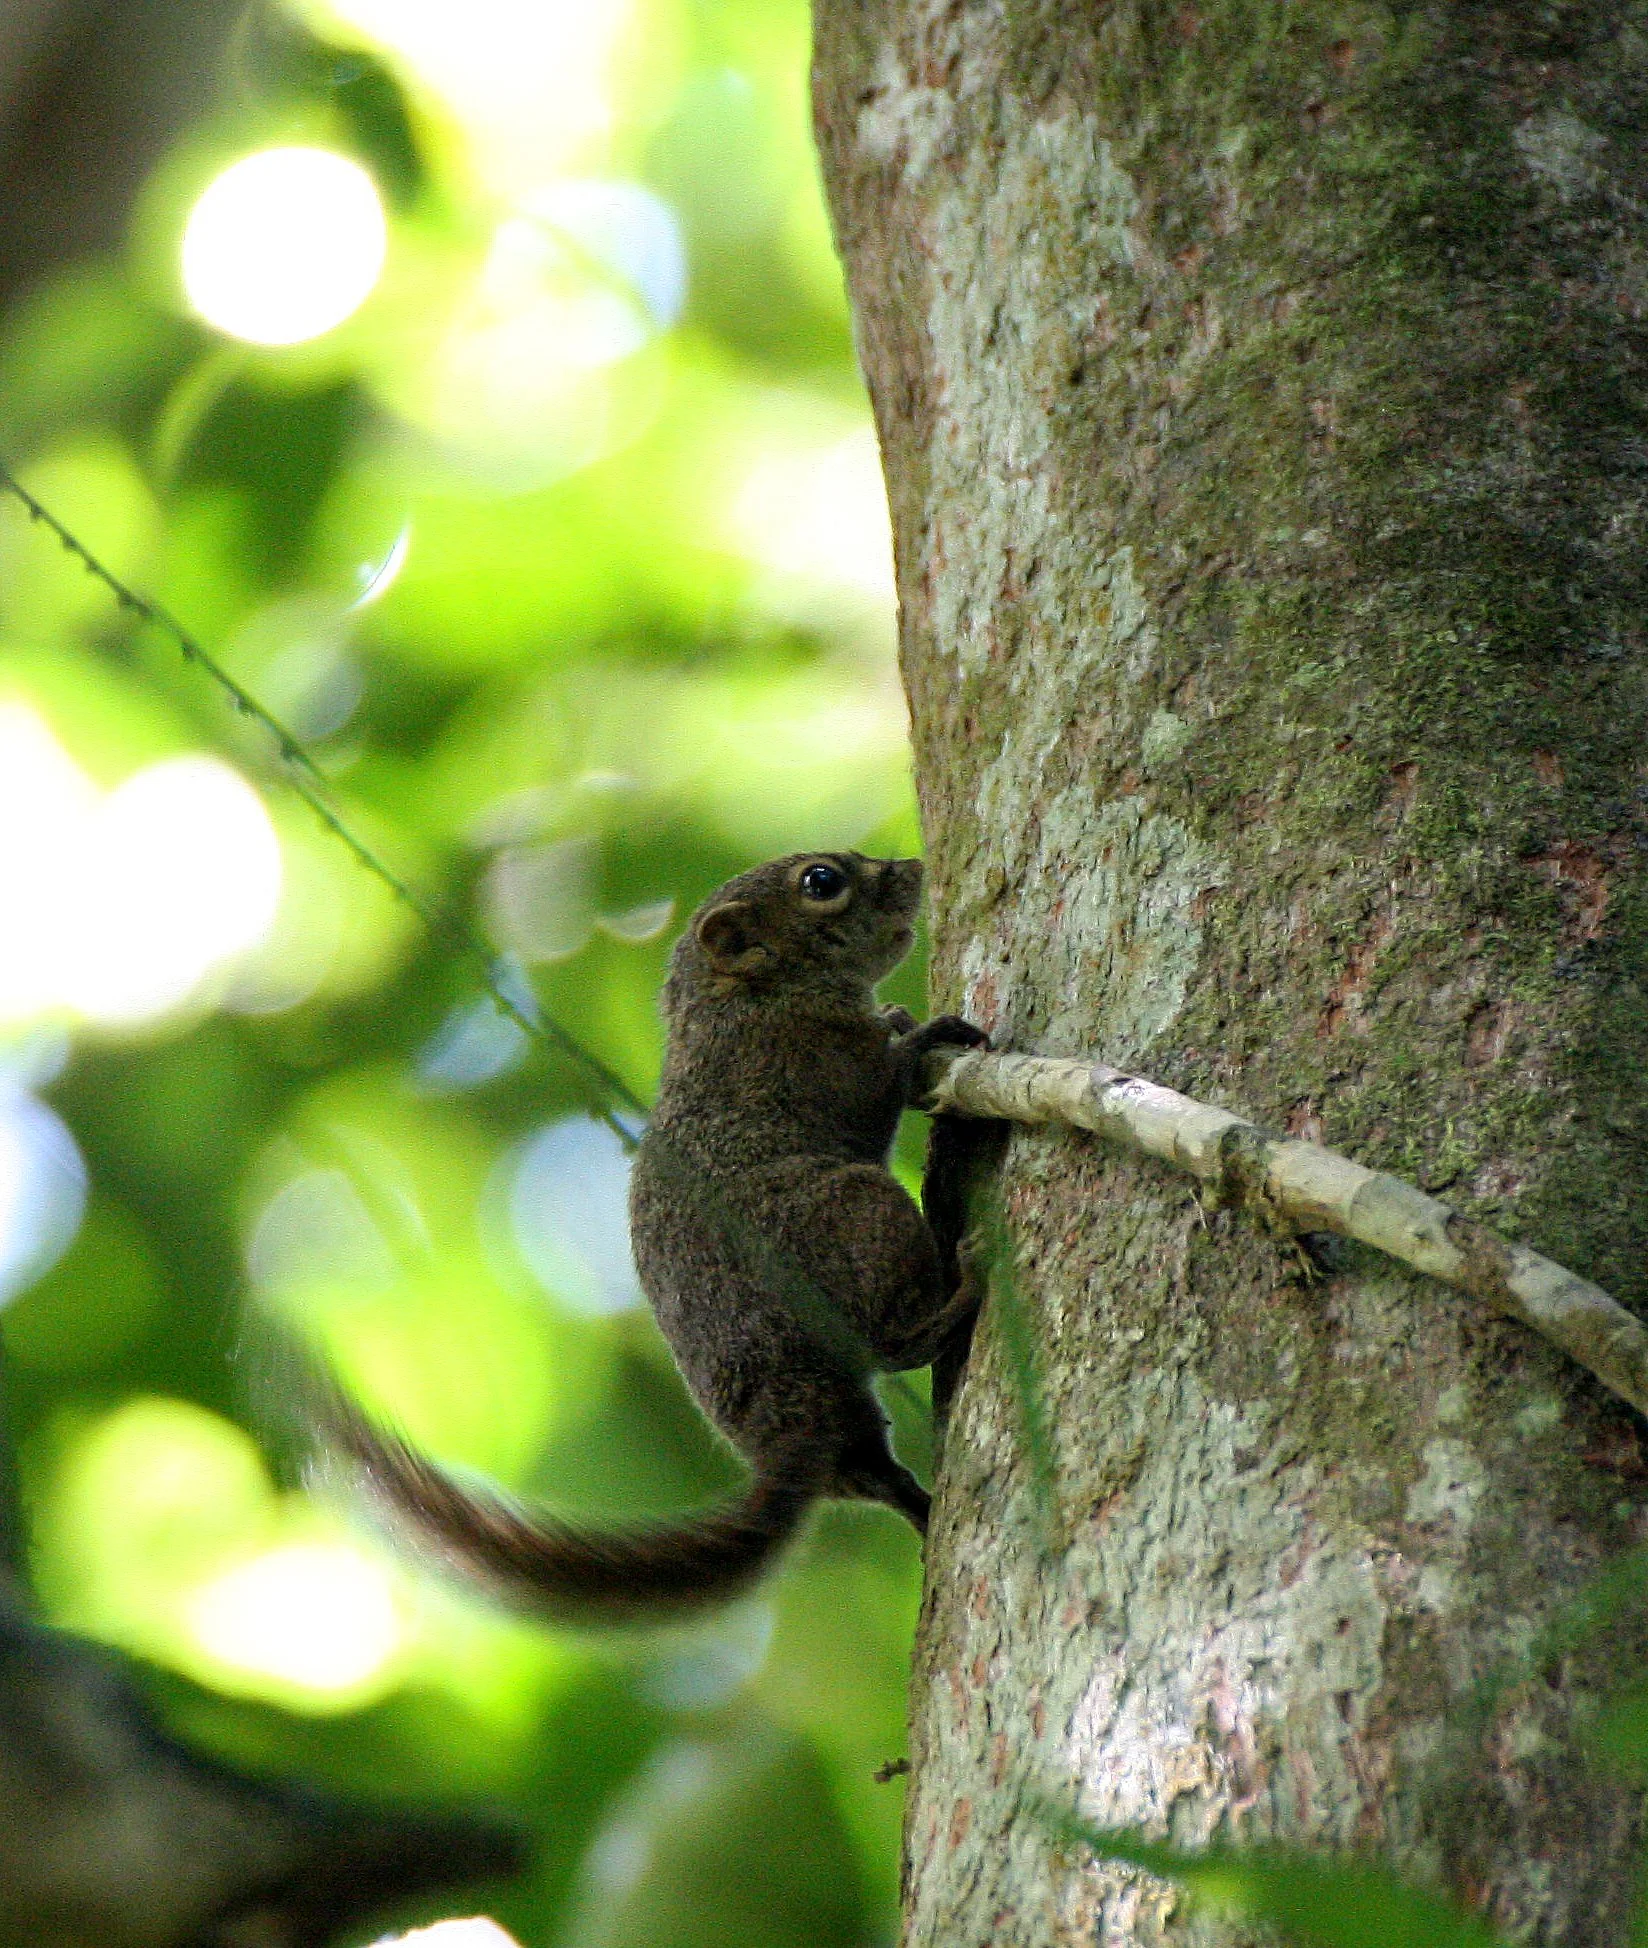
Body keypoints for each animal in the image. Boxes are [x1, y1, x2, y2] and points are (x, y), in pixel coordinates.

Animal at [314, 851, 988, 1623]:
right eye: (821, 882)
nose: (912, 867)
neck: (742, 998)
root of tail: (791, 1427)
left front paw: (903, 1016)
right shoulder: (810, 1055)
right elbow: (884, 1082)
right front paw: (919, 1034)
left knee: (874, 1469)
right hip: (860, 1216)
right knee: (898, 1342)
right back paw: (967, 1288)